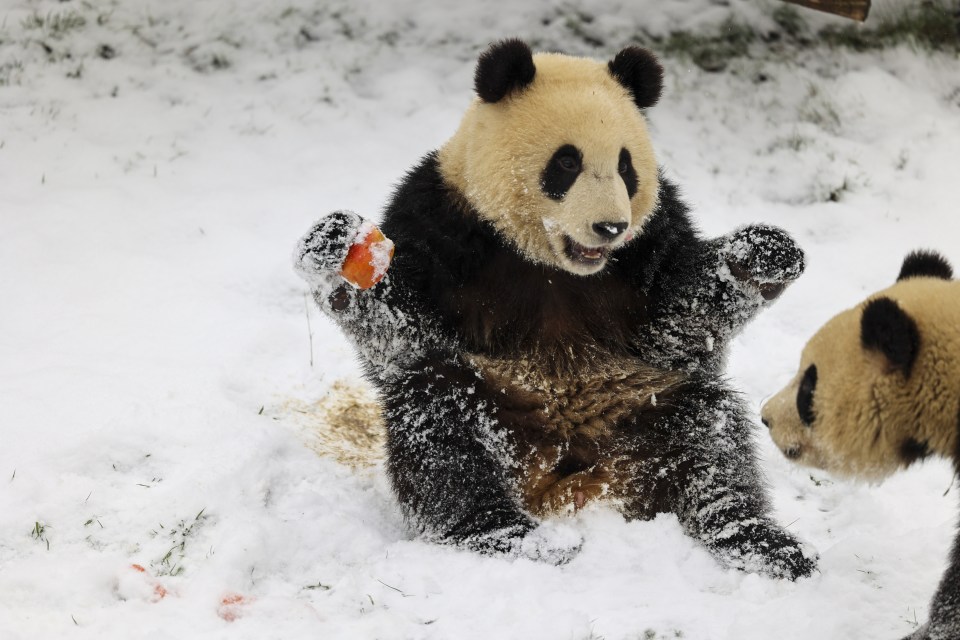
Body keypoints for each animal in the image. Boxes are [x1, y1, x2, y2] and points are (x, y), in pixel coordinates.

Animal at [294, 40, 816, 576]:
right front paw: (336, 251)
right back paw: (512, 536)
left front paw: (762, 257)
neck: (553, 265)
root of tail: (569, 480)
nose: (609, 227)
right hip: (496, 406)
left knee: (710, 443)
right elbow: (406, 330)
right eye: (567, 163)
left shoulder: (649, 244)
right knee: (441, 430)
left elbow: (680, 315)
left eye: (626, 167)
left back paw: (759, 541)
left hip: (645, 405)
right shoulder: (444, 222)